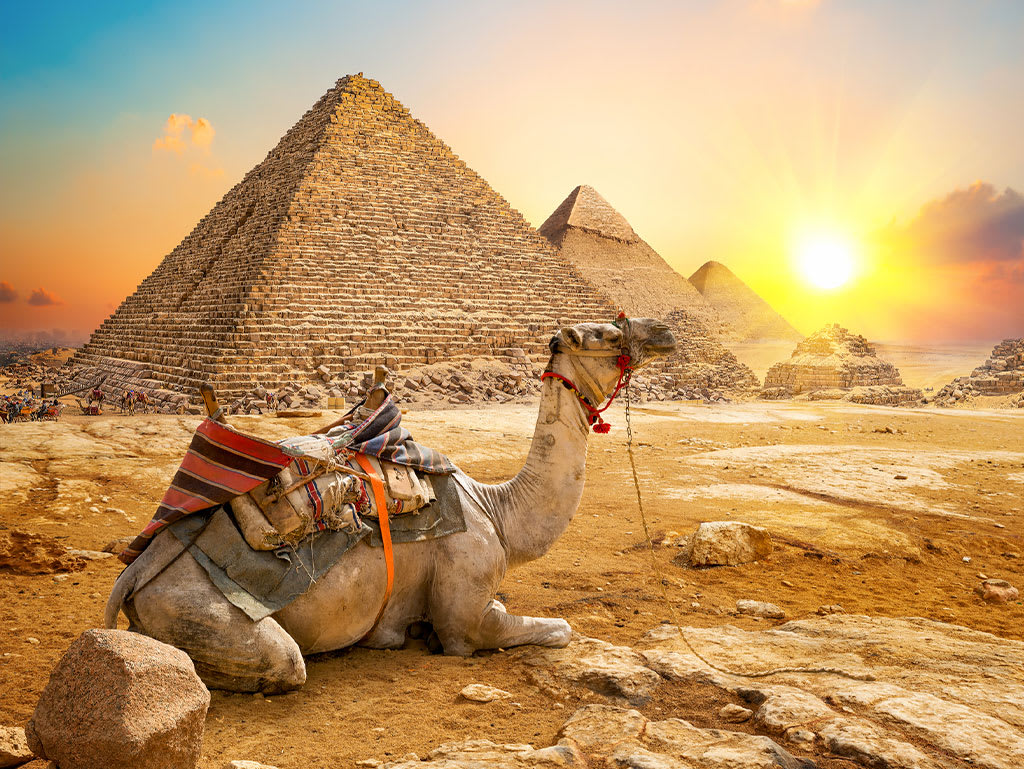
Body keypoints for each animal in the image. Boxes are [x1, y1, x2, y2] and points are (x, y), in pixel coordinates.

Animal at [104, 318, 676, 692]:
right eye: (610, 336)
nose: (665, 332)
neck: (498, 510)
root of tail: (133, 575)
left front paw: (401, 634)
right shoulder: (466, 612)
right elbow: (555, 629)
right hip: (198, 610)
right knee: (283, 663)